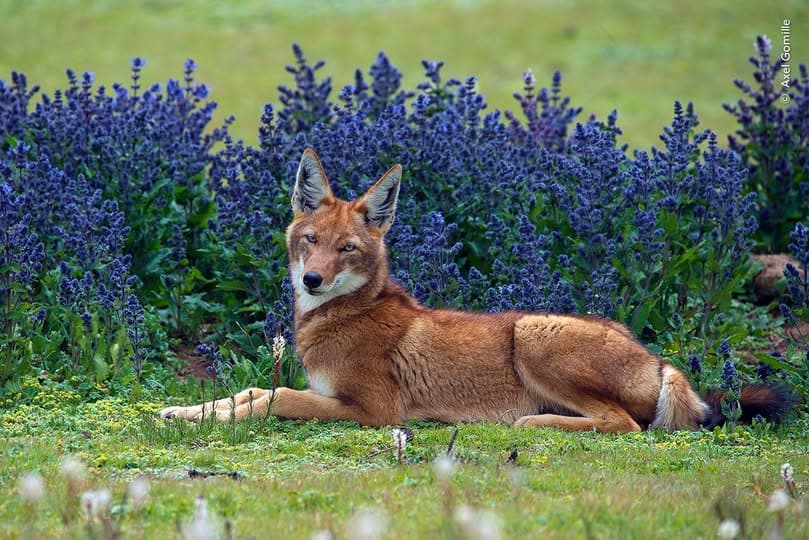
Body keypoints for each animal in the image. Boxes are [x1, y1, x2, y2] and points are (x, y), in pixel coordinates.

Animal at [159, 148, 790, 432]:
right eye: (310, 241)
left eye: (347, 249)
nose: (312, 279)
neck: (338, 316)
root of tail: (657, 360)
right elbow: (244, 393)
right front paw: (182, 411)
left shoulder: (376, 411)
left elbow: (271, 399)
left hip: (533, 334)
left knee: (623, 425)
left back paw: (533, 423)